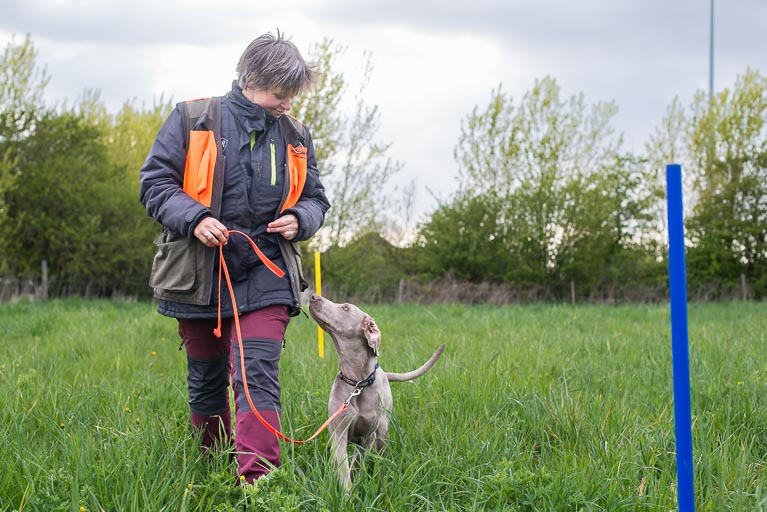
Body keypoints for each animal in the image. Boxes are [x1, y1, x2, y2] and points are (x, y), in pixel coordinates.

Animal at [308, 294, 448, 490]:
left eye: (345, 308)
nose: (313, 296)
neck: (358, 383)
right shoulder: (338, 434)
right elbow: (344, 469)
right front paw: (347, 493)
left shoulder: (368, 436)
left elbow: (357, 463)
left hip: (383, 428)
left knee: (381, 452)